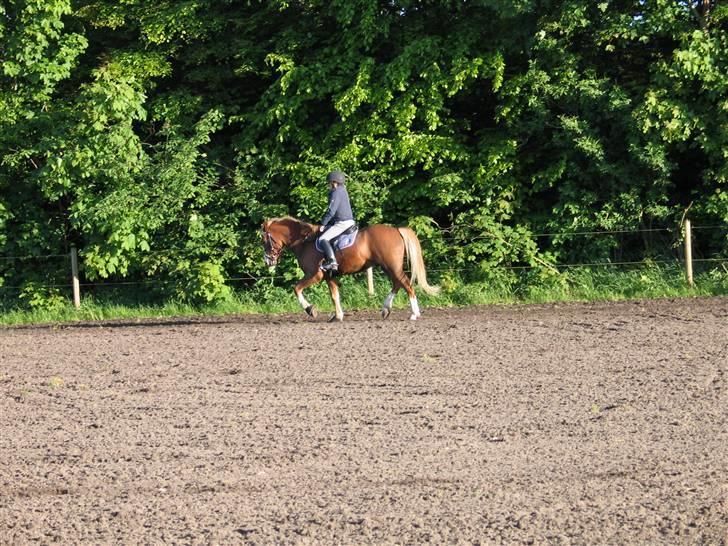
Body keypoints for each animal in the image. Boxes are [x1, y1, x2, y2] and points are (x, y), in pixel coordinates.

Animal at [260, 216, 438, 318]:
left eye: (264, 240)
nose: (268, 261)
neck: (304, 241)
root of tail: (396, 230)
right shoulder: (329, 276)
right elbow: (334, 296)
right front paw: (338, 316)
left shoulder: (315, 275)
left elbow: (296, 288)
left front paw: (310, 309)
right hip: (389, 267)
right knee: (398, 284)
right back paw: (386, 309)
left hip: (391, 266)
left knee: (406, 284)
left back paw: (414, 314)